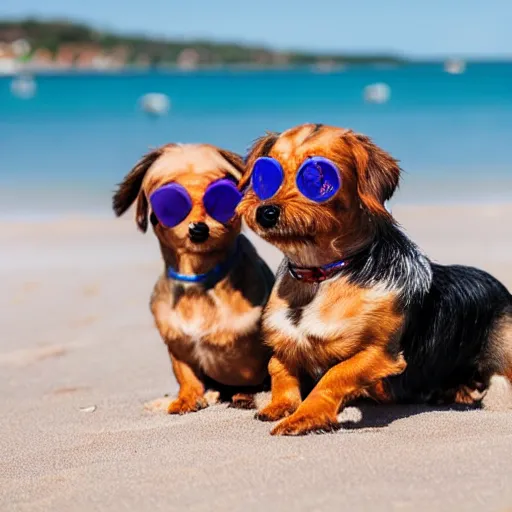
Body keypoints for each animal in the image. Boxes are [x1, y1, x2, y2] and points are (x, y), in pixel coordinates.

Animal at [111, 142, 272, 414]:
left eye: (222, 198)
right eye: (169, 203)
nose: (198, 229)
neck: (199, 277)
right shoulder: (178, 345)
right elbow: (187, 376)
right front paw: (187, 398)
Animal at [237, 122, 512, 434]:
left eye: (317, 177)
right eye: (263, 176)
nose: (266, 212)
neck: (322, 275)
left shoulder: (381, 353)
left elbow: (335, 374)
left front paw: (305, 415)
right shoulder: (286, 342)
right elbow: (278, 366)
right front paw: (280, 405)